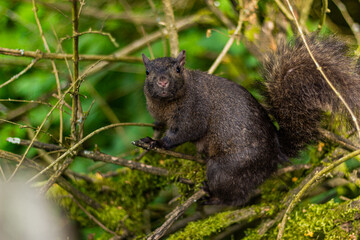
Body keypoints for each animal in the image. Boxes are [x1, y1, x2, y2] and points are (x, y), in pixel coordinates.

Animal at [133, 35, 360, 206]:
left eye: (178, 70)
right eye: (147, 72)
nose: (162, 81)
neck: (166, 103)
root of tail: (274, 155)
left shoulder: (194, 110)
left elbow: (185, 131)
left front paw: (157, 143)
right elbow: (161, 124)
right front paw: (154, 133)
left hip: (226, 170)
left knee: (236, 197)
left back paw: (214, 197)